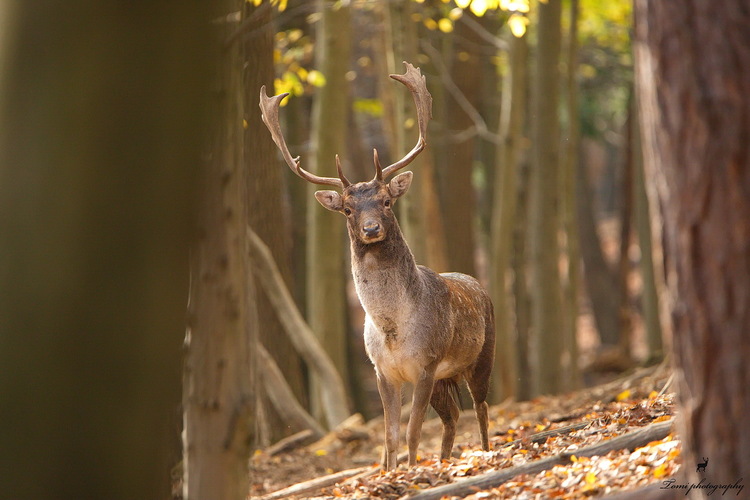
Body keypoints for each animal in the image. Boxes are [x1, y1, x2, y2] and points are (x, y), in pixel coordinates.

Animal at [262, 61, 496, 468]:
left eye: (386, 200)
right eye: (347, 209)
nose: (371, 228)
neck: (391, 330)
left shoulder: (426, 363)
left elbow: (412, 432)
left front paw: (412, 471)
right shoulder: (384, 372)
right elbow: (388, 438)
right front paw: (390, 473)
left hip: (482, 355)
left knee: (481, 409)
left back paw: (482, 453)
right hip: (446, 377)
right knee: (453, 417)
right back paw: (446, 461)